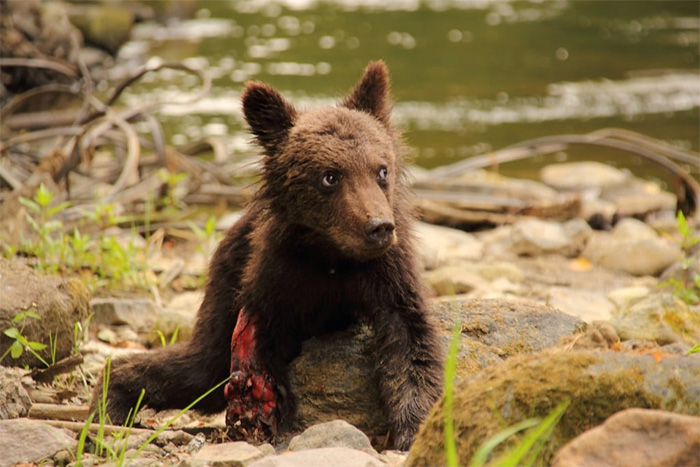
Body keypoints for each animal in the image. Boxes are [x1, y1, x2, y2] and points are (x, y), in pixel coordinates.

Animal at [91, 60, 442, 452]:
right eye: (330, 176)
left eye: (381, 169)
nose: (378, 226)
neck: (330, 254)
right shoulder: (276, 275)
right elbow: (262, 347)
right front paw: (272, 415)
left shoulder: (387, 272)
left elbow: (411, 343)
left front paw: (414, 426)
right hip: (222, 288)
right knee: (200, 367)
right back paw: (111, 396)